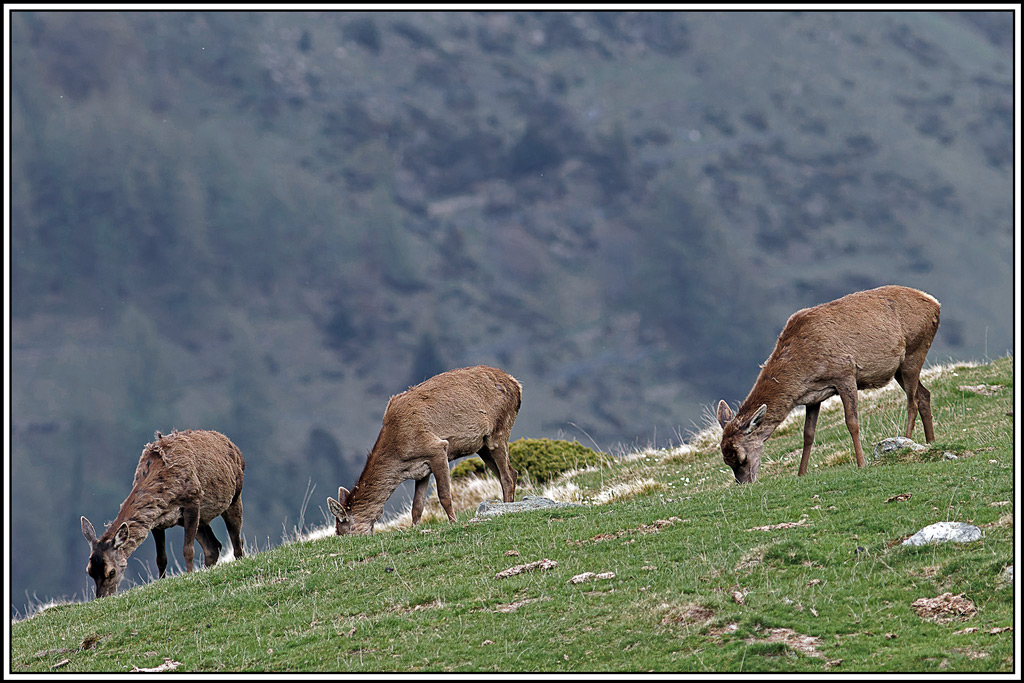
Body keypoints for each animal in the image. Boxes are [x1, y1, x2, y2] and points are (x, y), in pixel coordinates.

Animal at [80, 429, 245, 598]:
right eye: (89, 571)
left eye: (111, 572)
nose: (102, 597)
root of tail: (233, 445)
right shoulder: (156, 521)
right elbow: (161, 559)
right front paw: (161, 581)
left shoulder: (193, 500)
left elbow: (188, 550)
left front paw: (189, 575)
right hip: (200, 520)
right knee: (213, 546)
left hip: (234, 496)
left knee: (236, 541)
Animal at [327, 365, 521, 535]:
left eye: (342, 530)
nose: (345, 538)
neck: (399, 453)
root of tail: (516, 385)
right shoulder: (421, 470)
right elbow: (417, 506)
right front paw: (414, 529)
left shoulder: (437, 448)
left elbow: (444, 495)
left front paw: (453, 522)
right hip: (482, 446)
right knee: (509, 473)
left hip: (499, 430)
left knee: (507, 475)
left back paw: (508, 509)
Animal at [716, 285, 940, 484]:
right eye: (726, 460)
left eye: (742, 457)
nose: (745, 484)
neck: (804, 367)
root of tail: (935, 303)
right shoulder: (813, 397)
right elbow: (808, 434)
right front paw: (801, 473)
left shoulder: (845, 373)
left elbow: (852, 422)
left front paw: (861, 463)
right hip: (900, 369)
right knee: (925, 394)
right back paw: (930, 442)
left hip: (914, 352)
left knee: (912, 401)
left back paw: (906, 440)